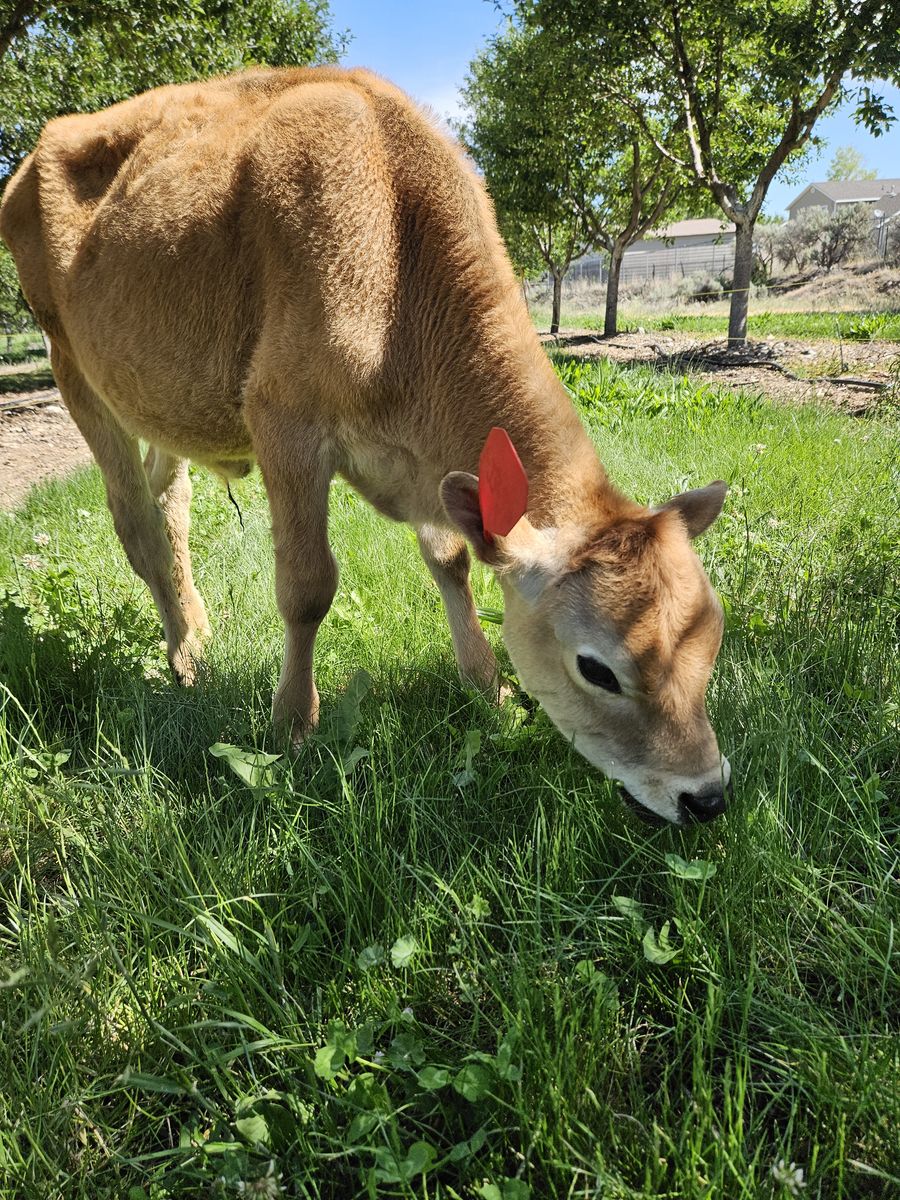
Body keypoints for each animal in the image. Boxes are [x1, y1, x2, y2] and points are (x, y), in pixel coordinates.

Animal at [0, 66, 731, 824]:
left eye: (714, 636)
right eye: (597, 668)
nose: (707, 795)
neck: (393, 248)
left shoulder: (425, 467)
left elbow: (450, 561)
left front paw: (491, 691)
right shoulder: (284, 421)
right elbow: (307, 586)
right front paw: (292, 726)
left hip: (158, 398)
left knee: (168, 499)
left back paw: (195, 632)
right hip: (70, 363)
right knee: (135, 520)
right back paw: (184, 662)